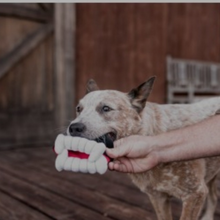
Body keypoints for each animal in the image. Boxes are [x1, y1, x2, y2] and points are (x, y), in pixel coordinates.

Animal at [66, 76, 220, 219]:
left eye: (106, 108)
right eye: (78, 109)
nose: (74, 128)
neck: (153, 133)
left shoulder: (195, 194)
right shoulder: (158, 197)